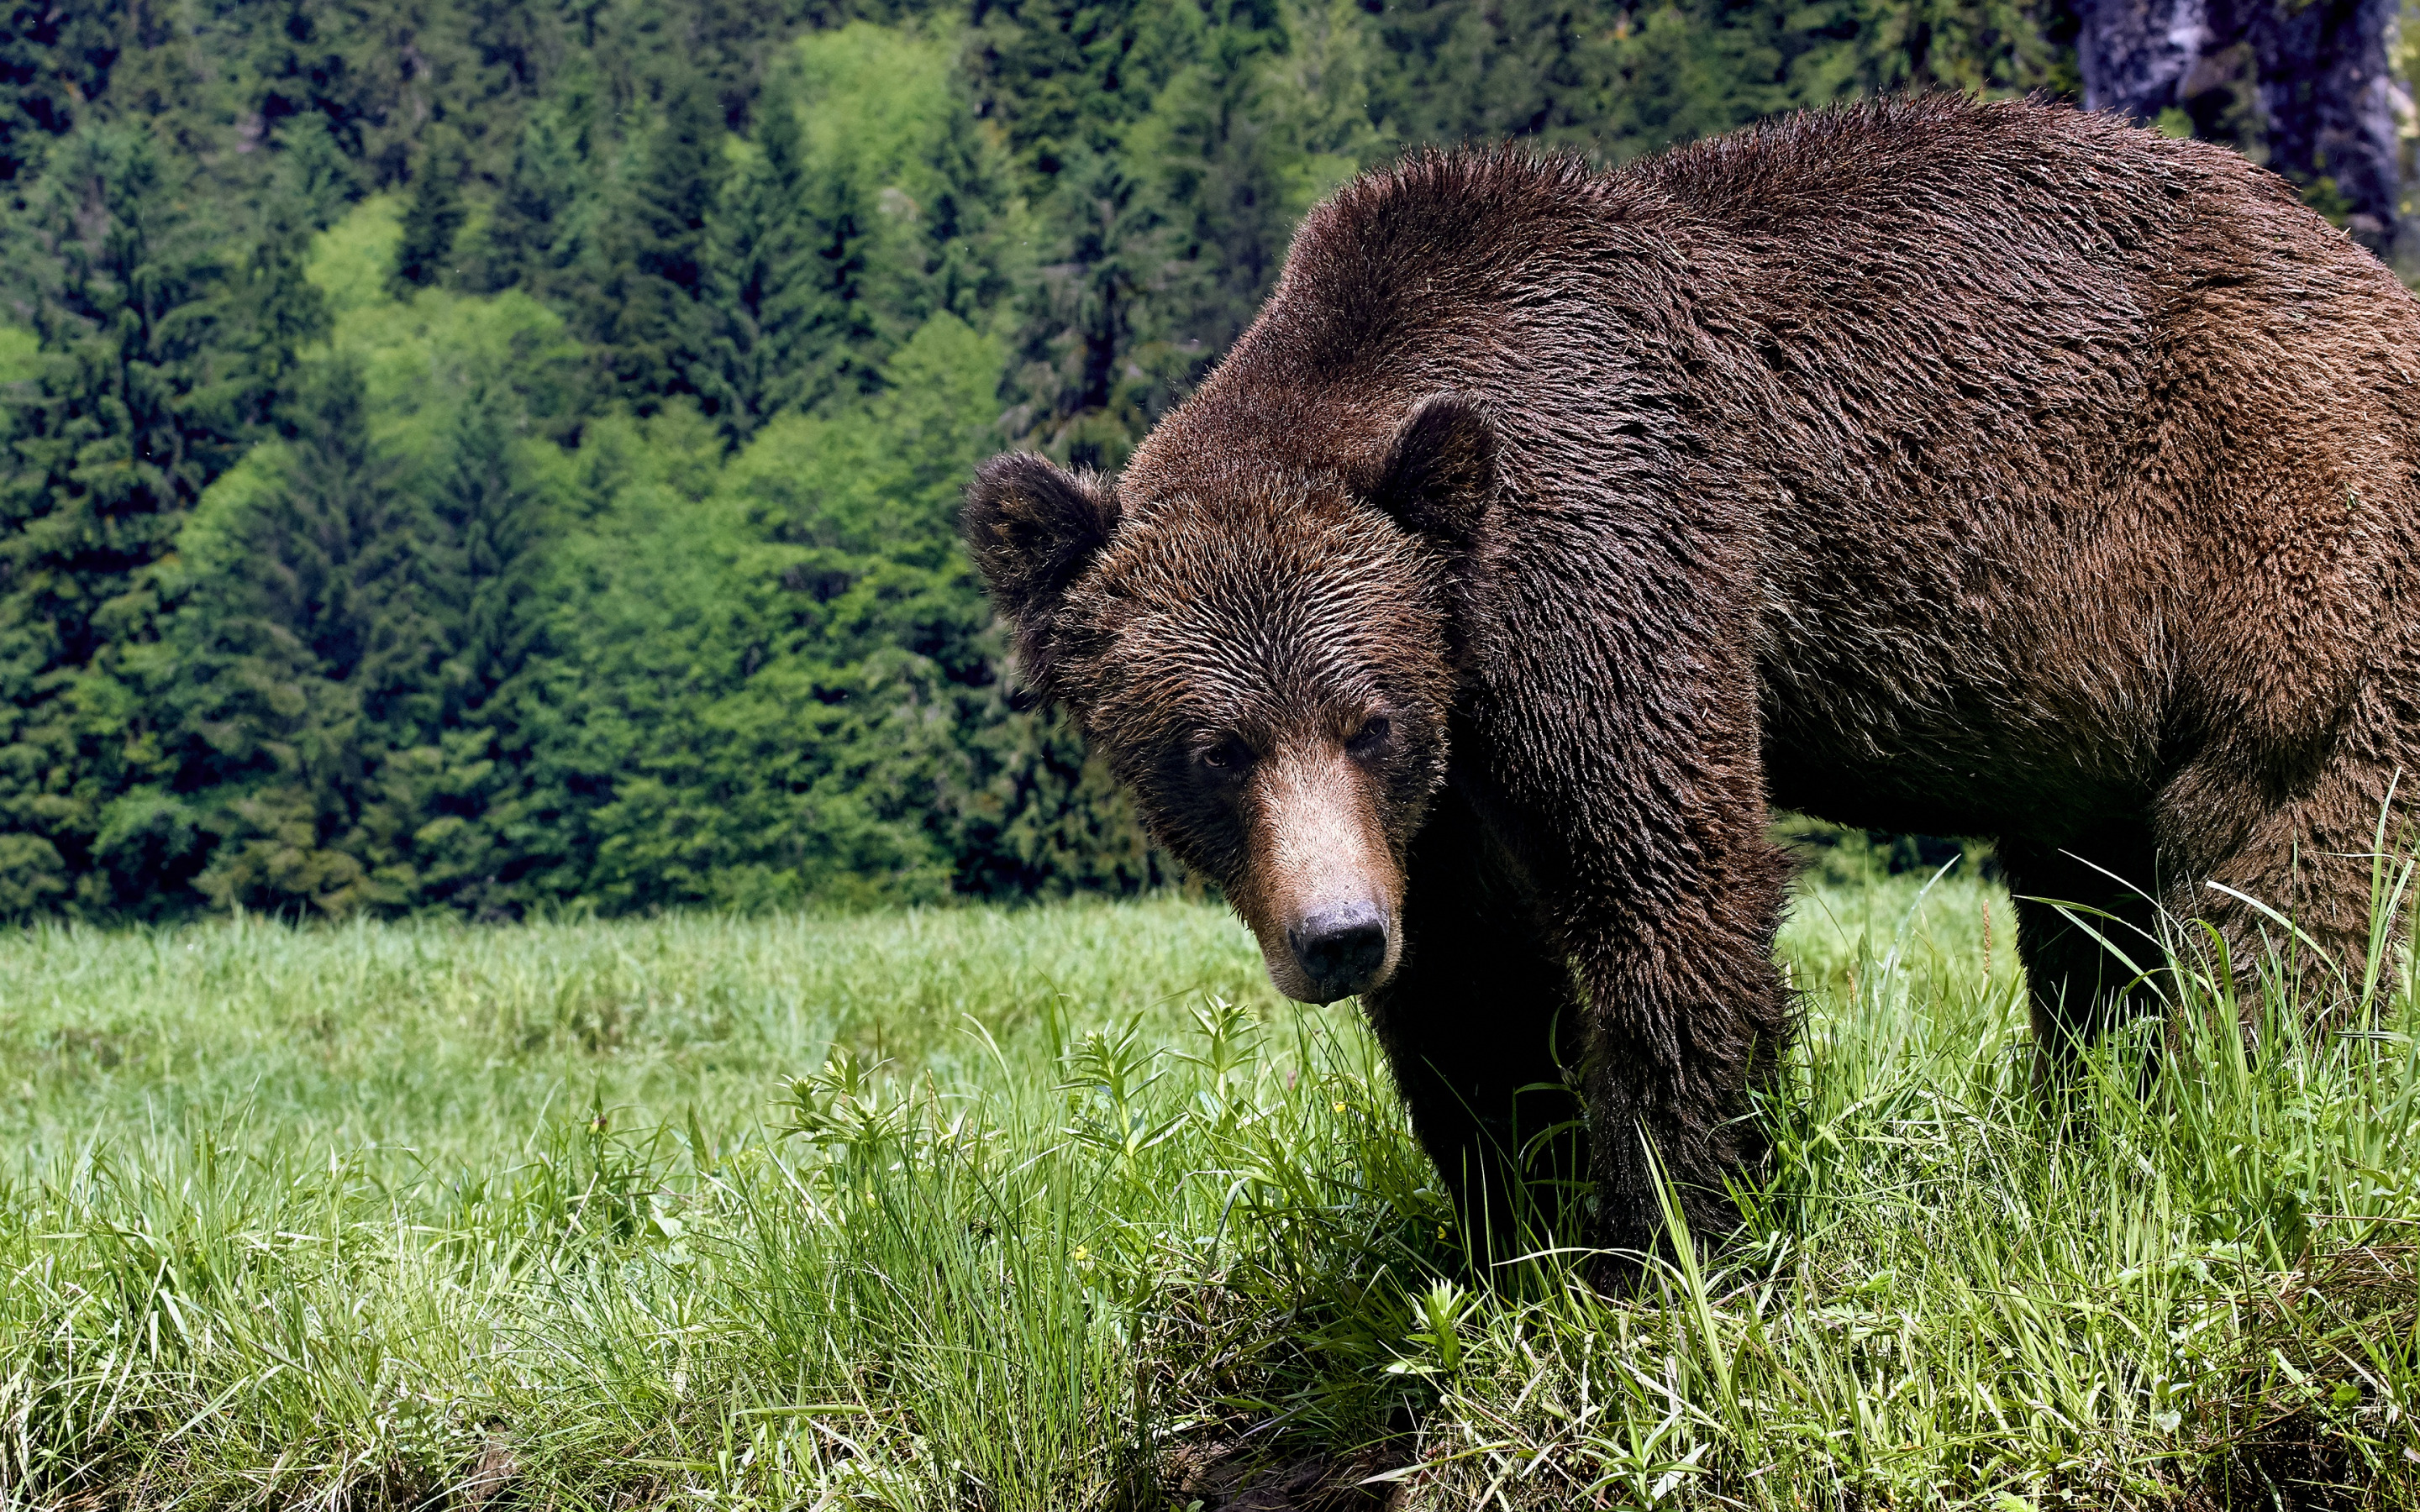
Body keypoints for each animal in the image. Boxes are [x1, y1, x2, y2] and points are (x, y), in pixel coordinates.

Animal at [958, 97, 2420, 1277]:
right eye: (1216, 748)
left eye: (1367, 722)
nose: (1338, 937)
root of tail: (2370, 275)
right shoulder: (1449, 774)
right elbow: (1472, 984)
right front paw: (1515, 1234)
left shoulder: (1608, 543)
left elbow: (1662, 877)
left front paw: (1673, 1235)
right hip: (2086, 683)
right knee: (2087, 894)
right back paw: (2091, 1114)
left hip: (2274, 517)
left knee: (2279, 852)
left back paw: (2249, 1092)